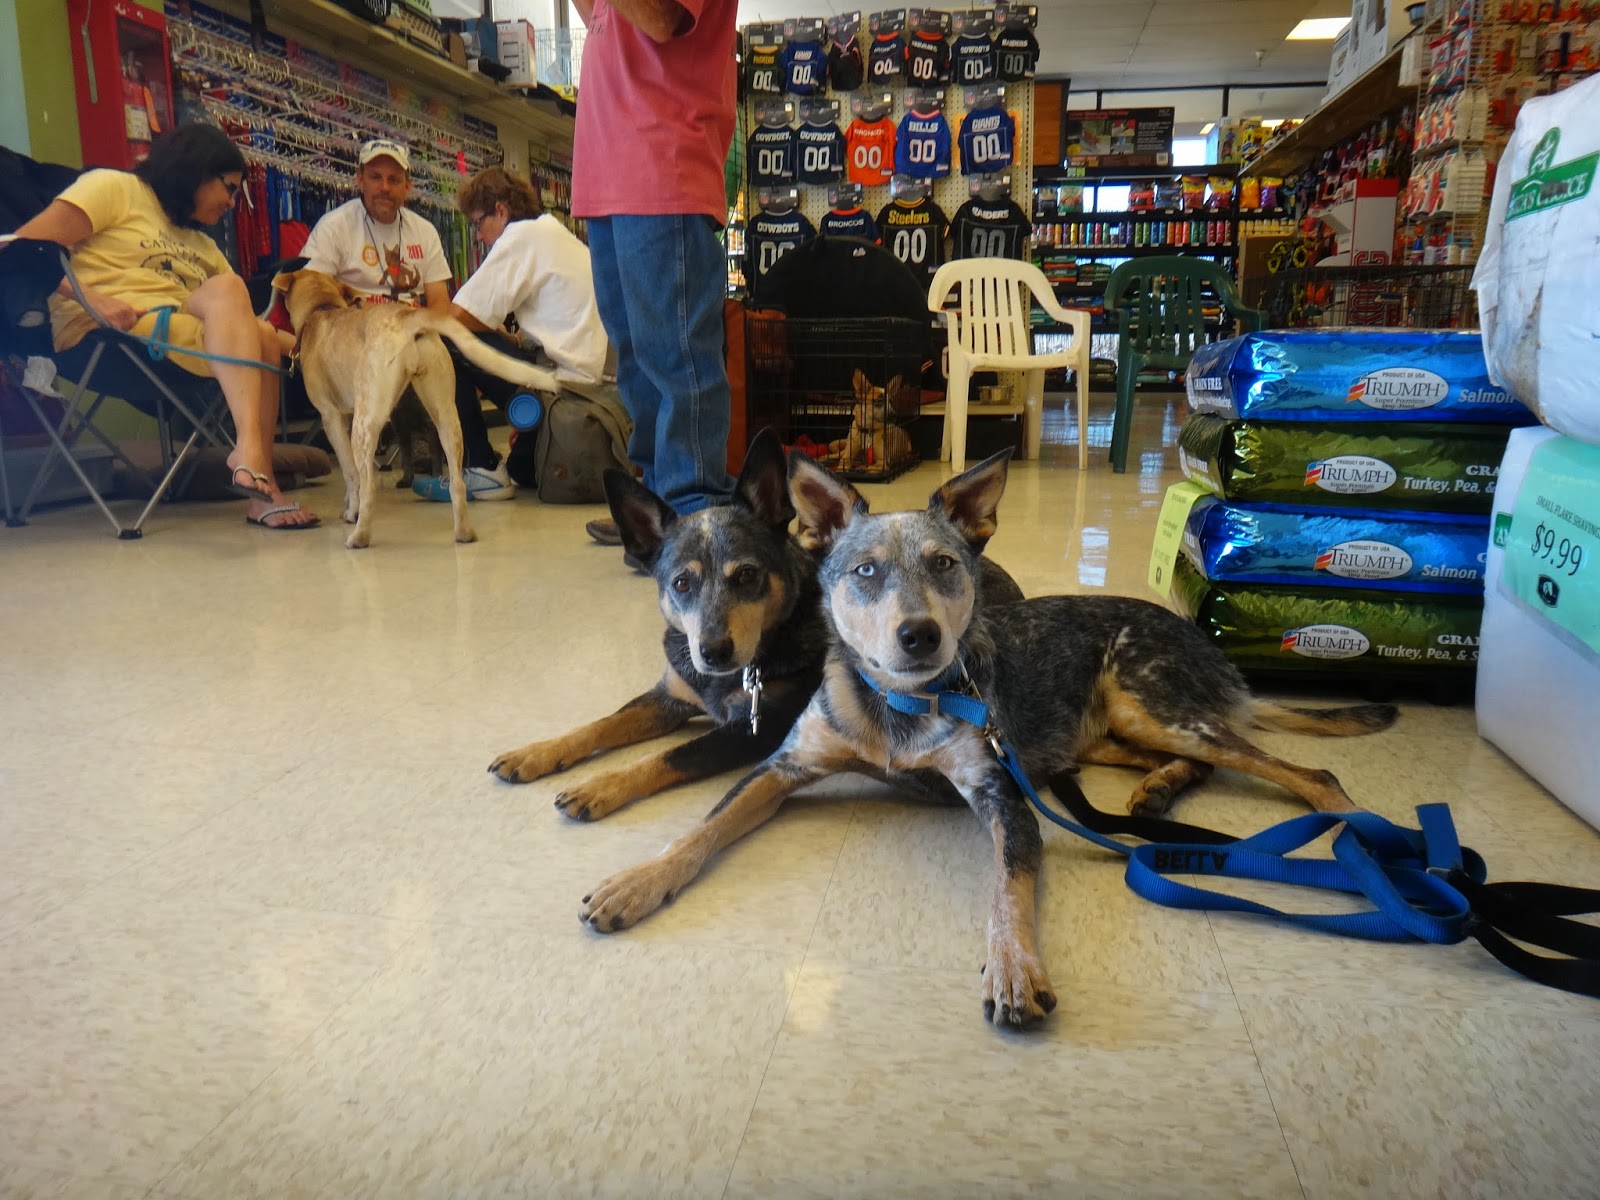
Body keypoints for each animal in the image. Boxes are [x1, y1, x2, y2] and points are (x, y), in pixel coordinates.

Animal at [272, 267, 561, 548]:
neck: (320, 310)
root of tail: (406, 317)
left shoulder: (331, 418)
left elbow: (350, 474)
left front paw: (350, 512)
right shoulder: (347, 416)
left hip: (366, 424)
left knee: (368, 488)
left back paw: (359, 536)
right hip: (446, 416)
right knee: (457, 484)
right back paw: (464, 532)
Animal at [488, 429, 1024, 820]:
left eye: (746, 575)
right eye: (681, 583)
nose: (713, 650)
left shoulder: (755, 730)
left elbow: (668, 757)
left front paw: (601, 784)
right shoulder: (670, 694)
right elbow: (602, 723)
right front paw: (535, 753)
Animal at [573, 449, 1397, 1029]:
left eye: (945, 564)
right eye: (864, 571)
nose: (920, 633)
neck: (902, 708)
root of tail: (1203, 643)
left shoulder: (1003, 793)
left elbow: (1008, 889)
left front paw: (1013, 969)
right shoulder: (783, 765)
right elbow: (699, 831)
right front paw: (634, 883)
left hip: (1153, 703)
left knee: (1305, 771)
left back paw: (1358, 831)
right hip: (1101, 732)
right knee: (1176, 762)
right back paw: (1157, 789)